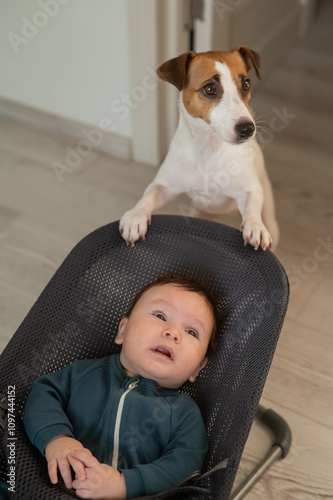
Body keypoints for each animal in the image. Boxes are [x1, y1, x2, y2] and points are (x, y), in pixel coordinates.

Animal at [119, 46, 278, 250]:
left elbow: (251, 208)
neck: (208, 148)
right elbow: (148, 196)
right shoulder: (164, 186)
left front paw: (255, 226)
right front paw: (135, 217)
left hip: (271, 218)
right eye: (210, 88)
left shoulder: (250, 190)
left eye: (246, 84)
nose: (247, 129)